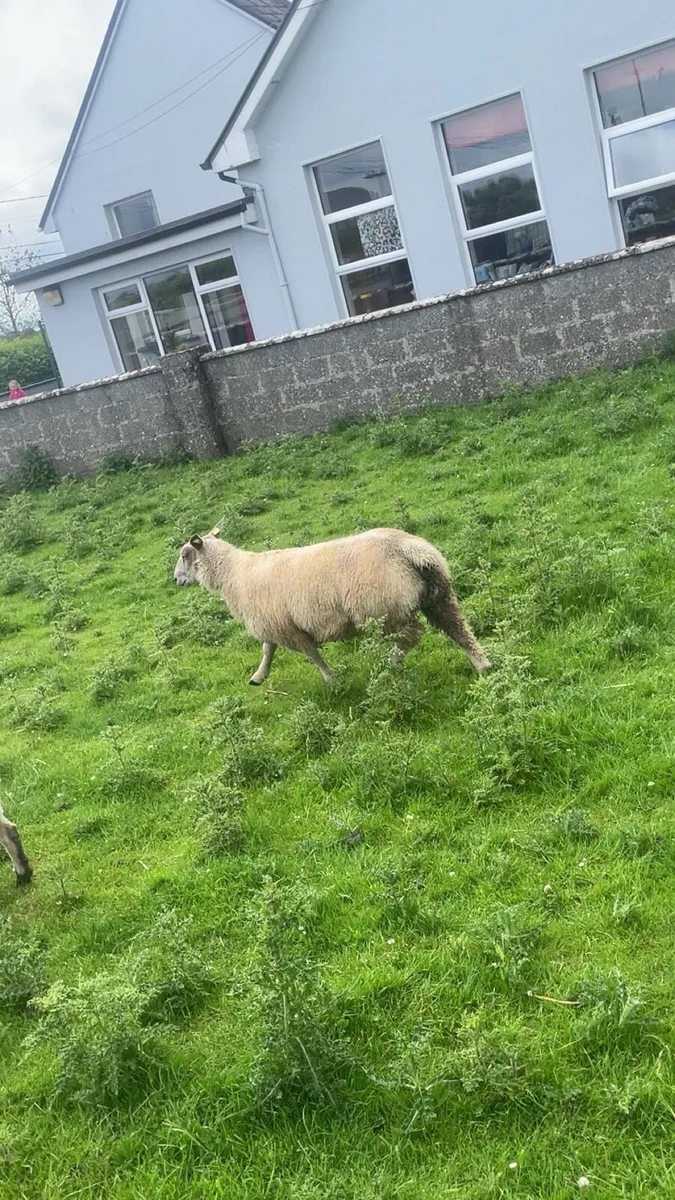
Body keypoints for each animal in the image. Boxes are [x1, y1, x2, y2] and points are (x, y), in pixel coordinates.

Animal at [174, 526, 491, 686]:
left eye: (184, 554)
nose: (176, 580)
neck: (234, 573)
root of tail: (409, 549)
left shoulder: (287, 628)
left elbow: (311, 655)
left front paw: (331, 680)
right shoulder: (276, 623)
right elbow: (268, 650)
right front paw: (258, 677)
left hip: (384, 611)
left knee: (410, 638)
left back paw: (389, 668)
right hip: (438, 597)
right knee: (458, 629)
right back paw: (483, 665)